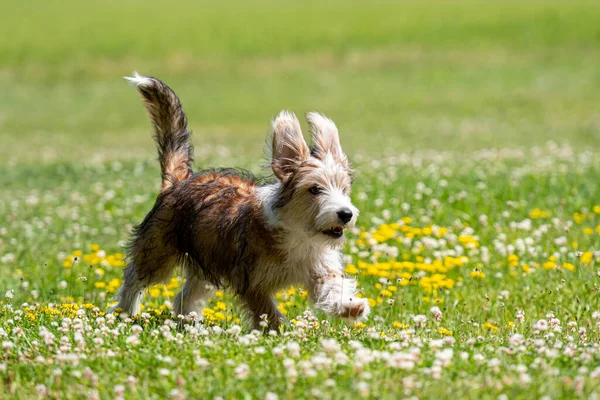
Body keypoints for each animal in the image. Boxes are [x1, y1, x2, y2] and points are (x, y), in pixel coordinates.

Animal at [110, 73, 368, 330]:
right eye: (315, 189)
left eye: (344, 189)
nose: (345, 214)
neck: (298, 234)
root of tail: (178, 181)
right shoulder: (251, 281)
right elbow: (267, 313)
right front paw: (274, 333)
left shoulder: (320, 268)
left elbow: (331, 286)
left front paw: (350, 307)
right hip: (157, 252)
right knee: (134, 279)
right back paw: (124, 312)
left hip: (205, 263)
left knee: (185, 297)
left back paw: (190, 325)